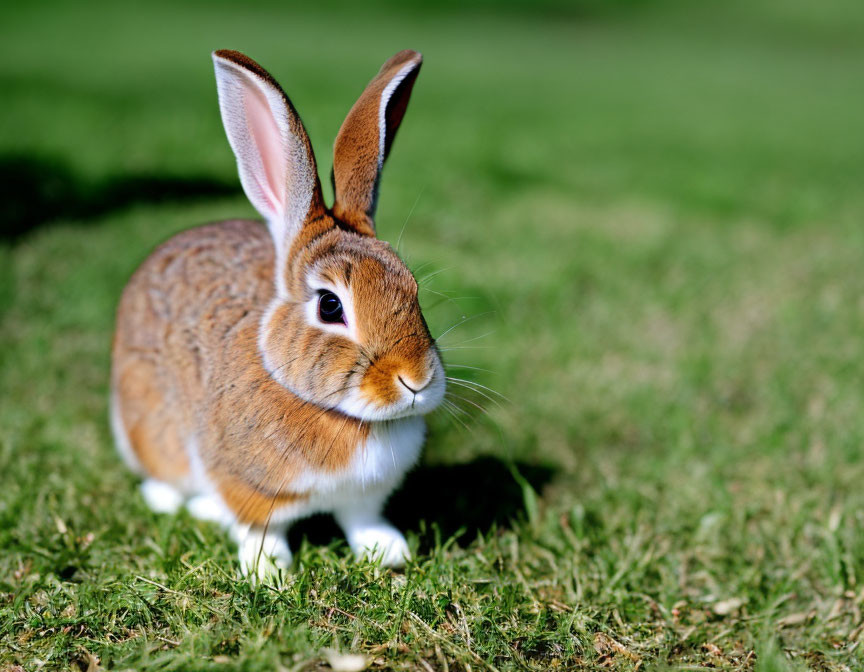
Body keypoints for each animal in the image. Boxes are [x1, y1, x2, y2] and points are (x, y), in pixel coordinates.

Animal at [109, 48, 446, 576]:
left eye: (413, 291)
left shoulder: (363, 498)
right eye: (330, 305)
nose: (416, 380)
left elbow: (363, 521)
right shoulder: (247, 485)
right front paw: (269, 573)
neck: (348, 419)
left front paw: (390, 551)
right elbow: (260, 530)